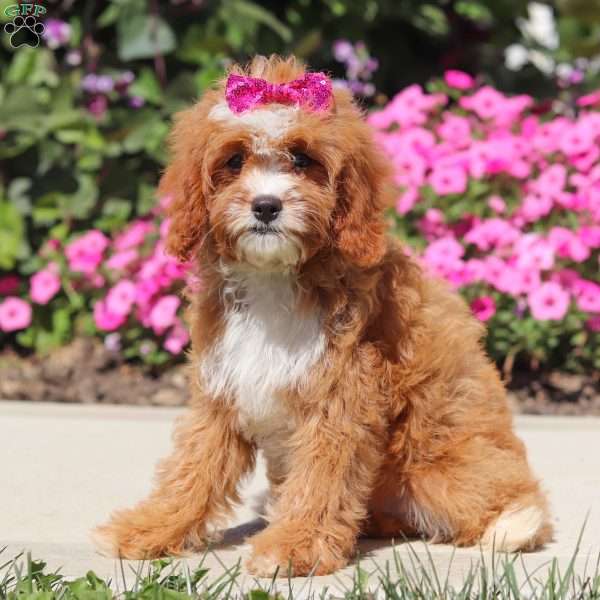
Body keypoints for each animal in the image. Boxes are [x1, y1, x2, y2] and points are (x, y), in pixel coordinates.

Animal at [95, 55, 552, 576]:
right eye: (234, 161)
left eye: (302, 160)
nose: (266, 206)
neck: (274, 277)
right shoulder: (222, 388)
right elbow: (194, 465)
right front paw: (149, 528)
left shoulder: (342, 392)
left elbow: (323, 476)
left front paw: (294, 547)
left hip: (437, 468)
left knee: (495, 491)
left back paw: (513, 523)